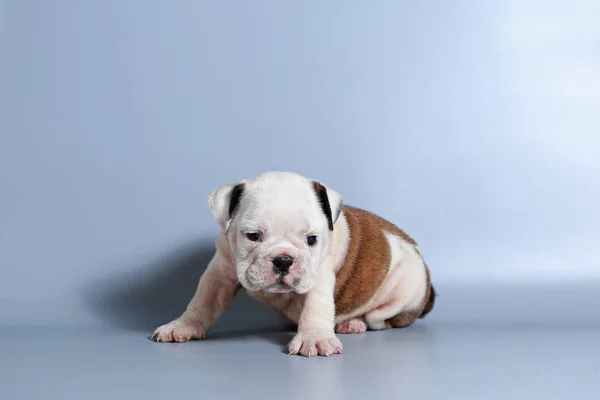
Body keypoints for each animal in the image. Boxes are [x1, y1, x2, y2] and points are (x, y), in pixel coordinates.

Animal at [152, 171, 436, 356]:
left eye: (311, 239)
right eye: (253, 236)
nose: (283, 260)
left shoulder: (319, 274)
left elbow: (315, 306)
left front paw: (315, 338)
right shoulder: (219, 273)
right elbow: (202, 303)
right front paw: (182, 326)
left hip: (402, 295)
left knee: (381, 320)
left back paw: (354, 323)